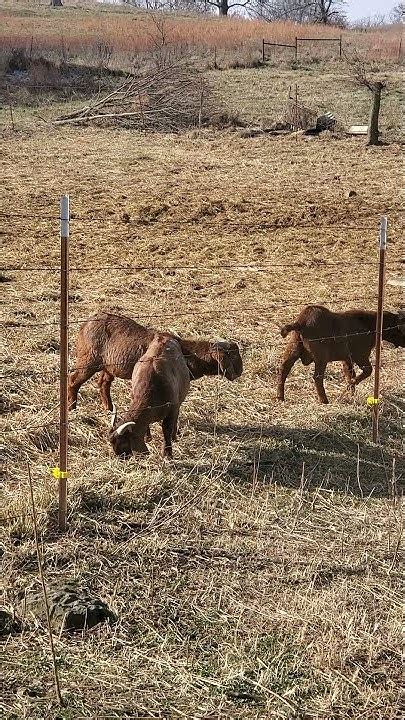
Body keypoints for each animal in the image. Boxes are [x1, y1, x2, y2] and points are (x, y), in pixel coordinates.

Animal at [68, 310, 241, 410]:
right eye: (231, 356)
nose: (239, 373)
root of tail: (84, 325)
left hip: (109, 366)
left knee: (103, 383)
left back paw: (109, 409)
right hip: (89, 360)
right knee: (73, 380)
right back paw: (72, 407)